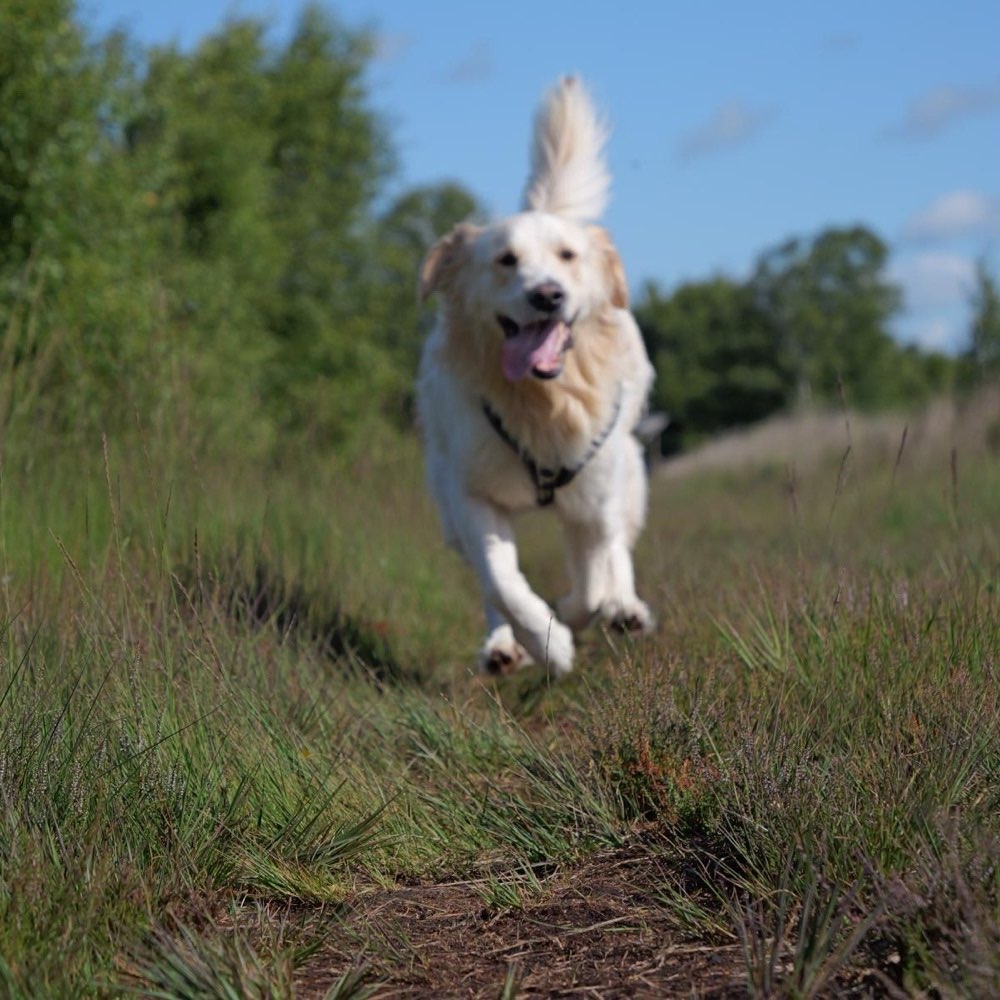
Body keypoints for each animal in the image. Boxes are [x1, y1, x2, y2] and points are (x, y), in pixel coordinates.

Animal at [416, 76, 656, 672]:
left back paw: (625, 610)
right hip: (446, 496)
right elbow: (502, 583)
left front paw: (575, 614)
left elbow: (593, 579)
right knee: (487, 585)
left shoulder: (593, 498)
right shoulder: (473, 495)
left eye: (568, 256)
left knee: (618, 551)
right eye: (505, 260)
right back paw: (504, 648)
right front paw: (547, 644)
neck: (543, 404)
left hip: (627, 468)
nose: (547, 295)